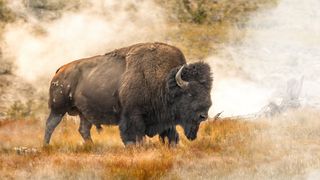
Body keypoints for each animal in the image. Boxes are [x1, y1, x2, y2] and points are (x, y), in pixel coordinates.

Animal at [42, 43, 212, 146]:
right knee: (50, 125)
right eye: (190, 94)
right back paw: (46, 146)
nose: (203, 115)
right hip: (58, 109)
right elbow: (133, 137)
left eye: (208, 90)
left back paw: (91, 146)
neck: (163, 81)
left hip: (85, 114)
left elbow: (171, 137)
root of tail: (60, 70)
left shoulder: (165, 121)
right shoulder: (133, 116)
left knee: (84, 129)